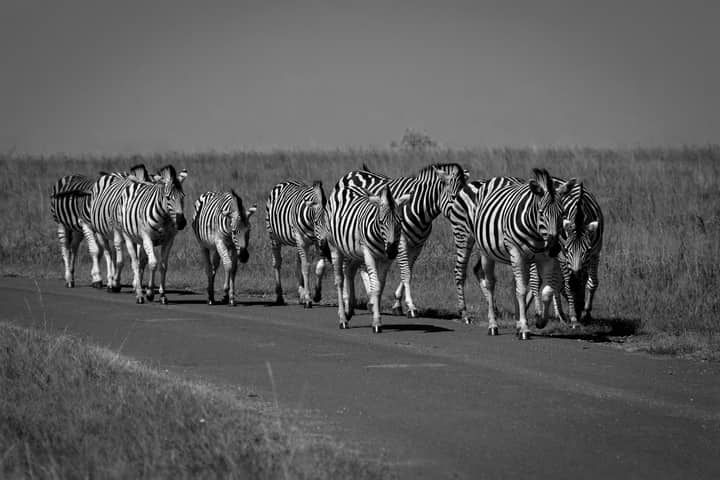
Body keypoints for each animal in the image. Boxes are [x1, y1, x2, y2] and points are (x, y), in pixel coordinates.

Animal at [118, 165, 188, 305]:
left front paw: (162, 295)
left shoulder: (169, 240)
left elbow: (163, 265)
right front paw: (149, 293)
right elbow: (153, 264)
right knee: (135, 263)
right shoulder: (147, 238)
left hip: (140, 242)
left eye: (183, 197)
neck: (165, 217)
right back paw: (139, 294)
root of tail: (140, 182)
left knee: (141, 262)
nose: (181, 223)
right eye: (168, 197)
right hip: (129, 237)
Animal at [265, 179, 331, 307]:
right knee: (277, 263)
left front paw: (316, 294)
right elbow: (306, 267)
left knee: (298, 263)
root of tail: (285, 182)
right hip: (273, 236)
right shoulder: (301, 240)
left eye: (329, 222)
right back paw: (280, 297)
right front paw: (308, 299)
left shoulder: (317, 242)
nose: (326, 247)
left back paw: (301, 294)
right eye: (316, 223)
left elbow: (320, 267)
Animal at [319, 182, 410, 333]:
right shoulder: (369, 254)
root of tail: (348, 187)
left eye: (400, 221)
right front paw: (376, 322)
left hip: (355, 252)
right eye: (381, 221)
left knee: (349, 271)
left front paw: (375, 314)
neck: (381, 239)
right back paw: (343, 319)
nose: (392, 251)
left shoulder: (385, 260)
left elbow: (380, 286)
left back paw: (349, 311)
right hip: (335, 247)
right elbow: (375, 286)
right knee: (339, 280)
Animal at [334, 163, 467, 318]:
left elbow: (409, 271)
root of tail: (352, 172)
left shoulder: (417, 245)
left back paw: (366, 301)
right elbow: (406, 273)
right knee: (346, 267)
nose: (466, 218)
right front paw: (411, 306)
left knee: (359, 267)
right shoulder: (401, 242)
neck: (420, 210)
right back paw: (348, 302)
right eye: (454, 197)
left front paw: (397, 303)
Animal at [473, 168, 576, 339]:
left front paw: (540, 321)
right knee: (490, 284)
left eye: (563, 214)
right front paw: (525, 329)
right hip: (486, 254)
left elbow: (547, 291)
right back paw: (493, 325)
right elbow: (522, 291)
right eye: (541, 213)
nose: (554, 248)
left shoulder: (546, 259)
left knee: (514, 284)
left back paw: (517, 325)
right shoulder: (517, 253)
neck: (537, 234)